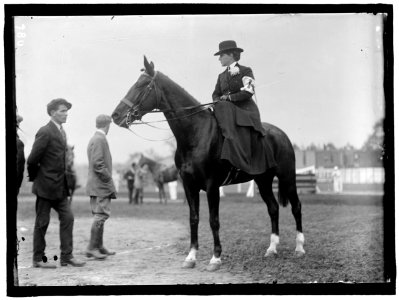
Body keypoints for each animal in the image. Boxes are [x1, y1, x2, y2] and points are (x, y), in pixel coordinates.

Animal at [111, 55, 304, 270]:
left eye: (143, 85)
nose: (116, 116)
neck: (196, 134)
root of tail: (281, 134)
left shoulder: (212, 186)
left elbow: (214, 221)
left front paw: (215, 258)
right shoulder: (189, 186)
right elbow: (194, 219)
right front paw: (191, 257)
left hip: (287, 177)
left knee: (296, 207)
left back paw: (299, 248)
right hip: (263, 181)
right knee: (273, 208)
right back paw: (272, 249)